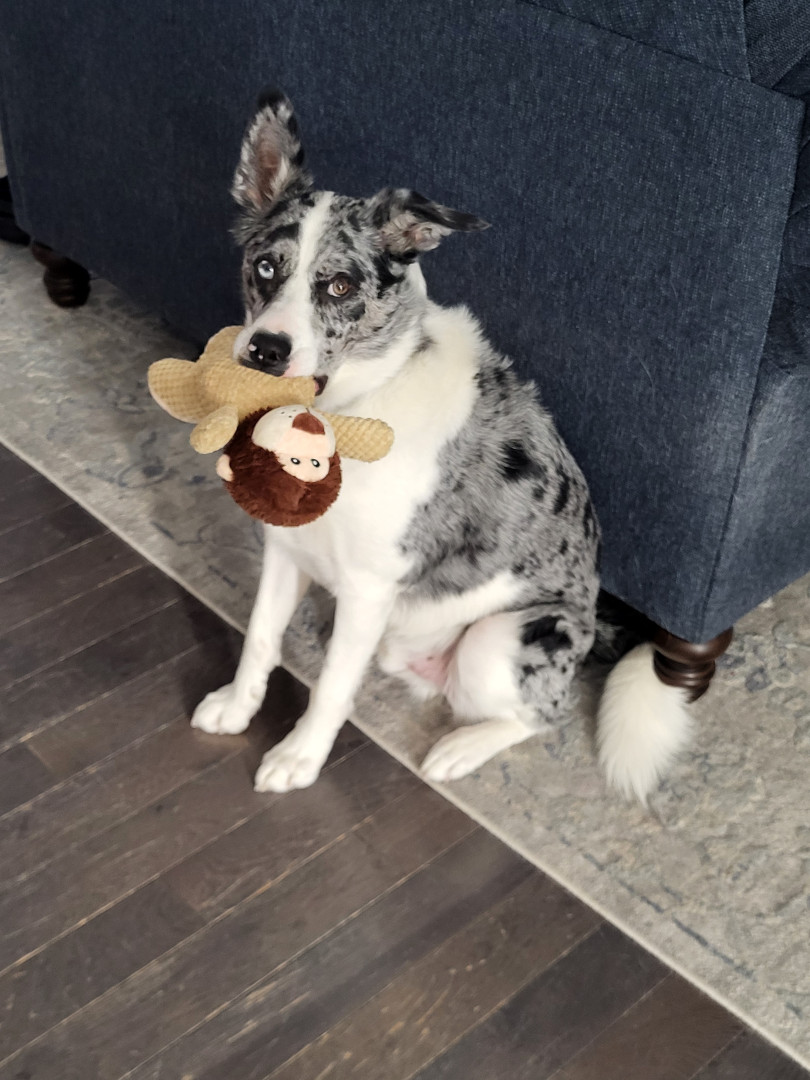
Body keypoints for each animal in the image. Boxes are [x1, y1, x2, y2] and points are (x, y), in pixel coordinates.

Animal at [191, 91, 690, 802]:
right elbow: (261, 638)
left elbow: (332, 689)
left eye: (339, 286)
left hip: (497, 643)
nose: (265, 350)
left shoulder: (369, 589)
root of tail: (598, 621)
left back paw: (459, 750)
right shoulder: (286, 549)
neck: (347, 413)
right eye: (265, 266)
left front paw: (299, 758)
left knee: (541, 715)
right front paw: (237, 708)